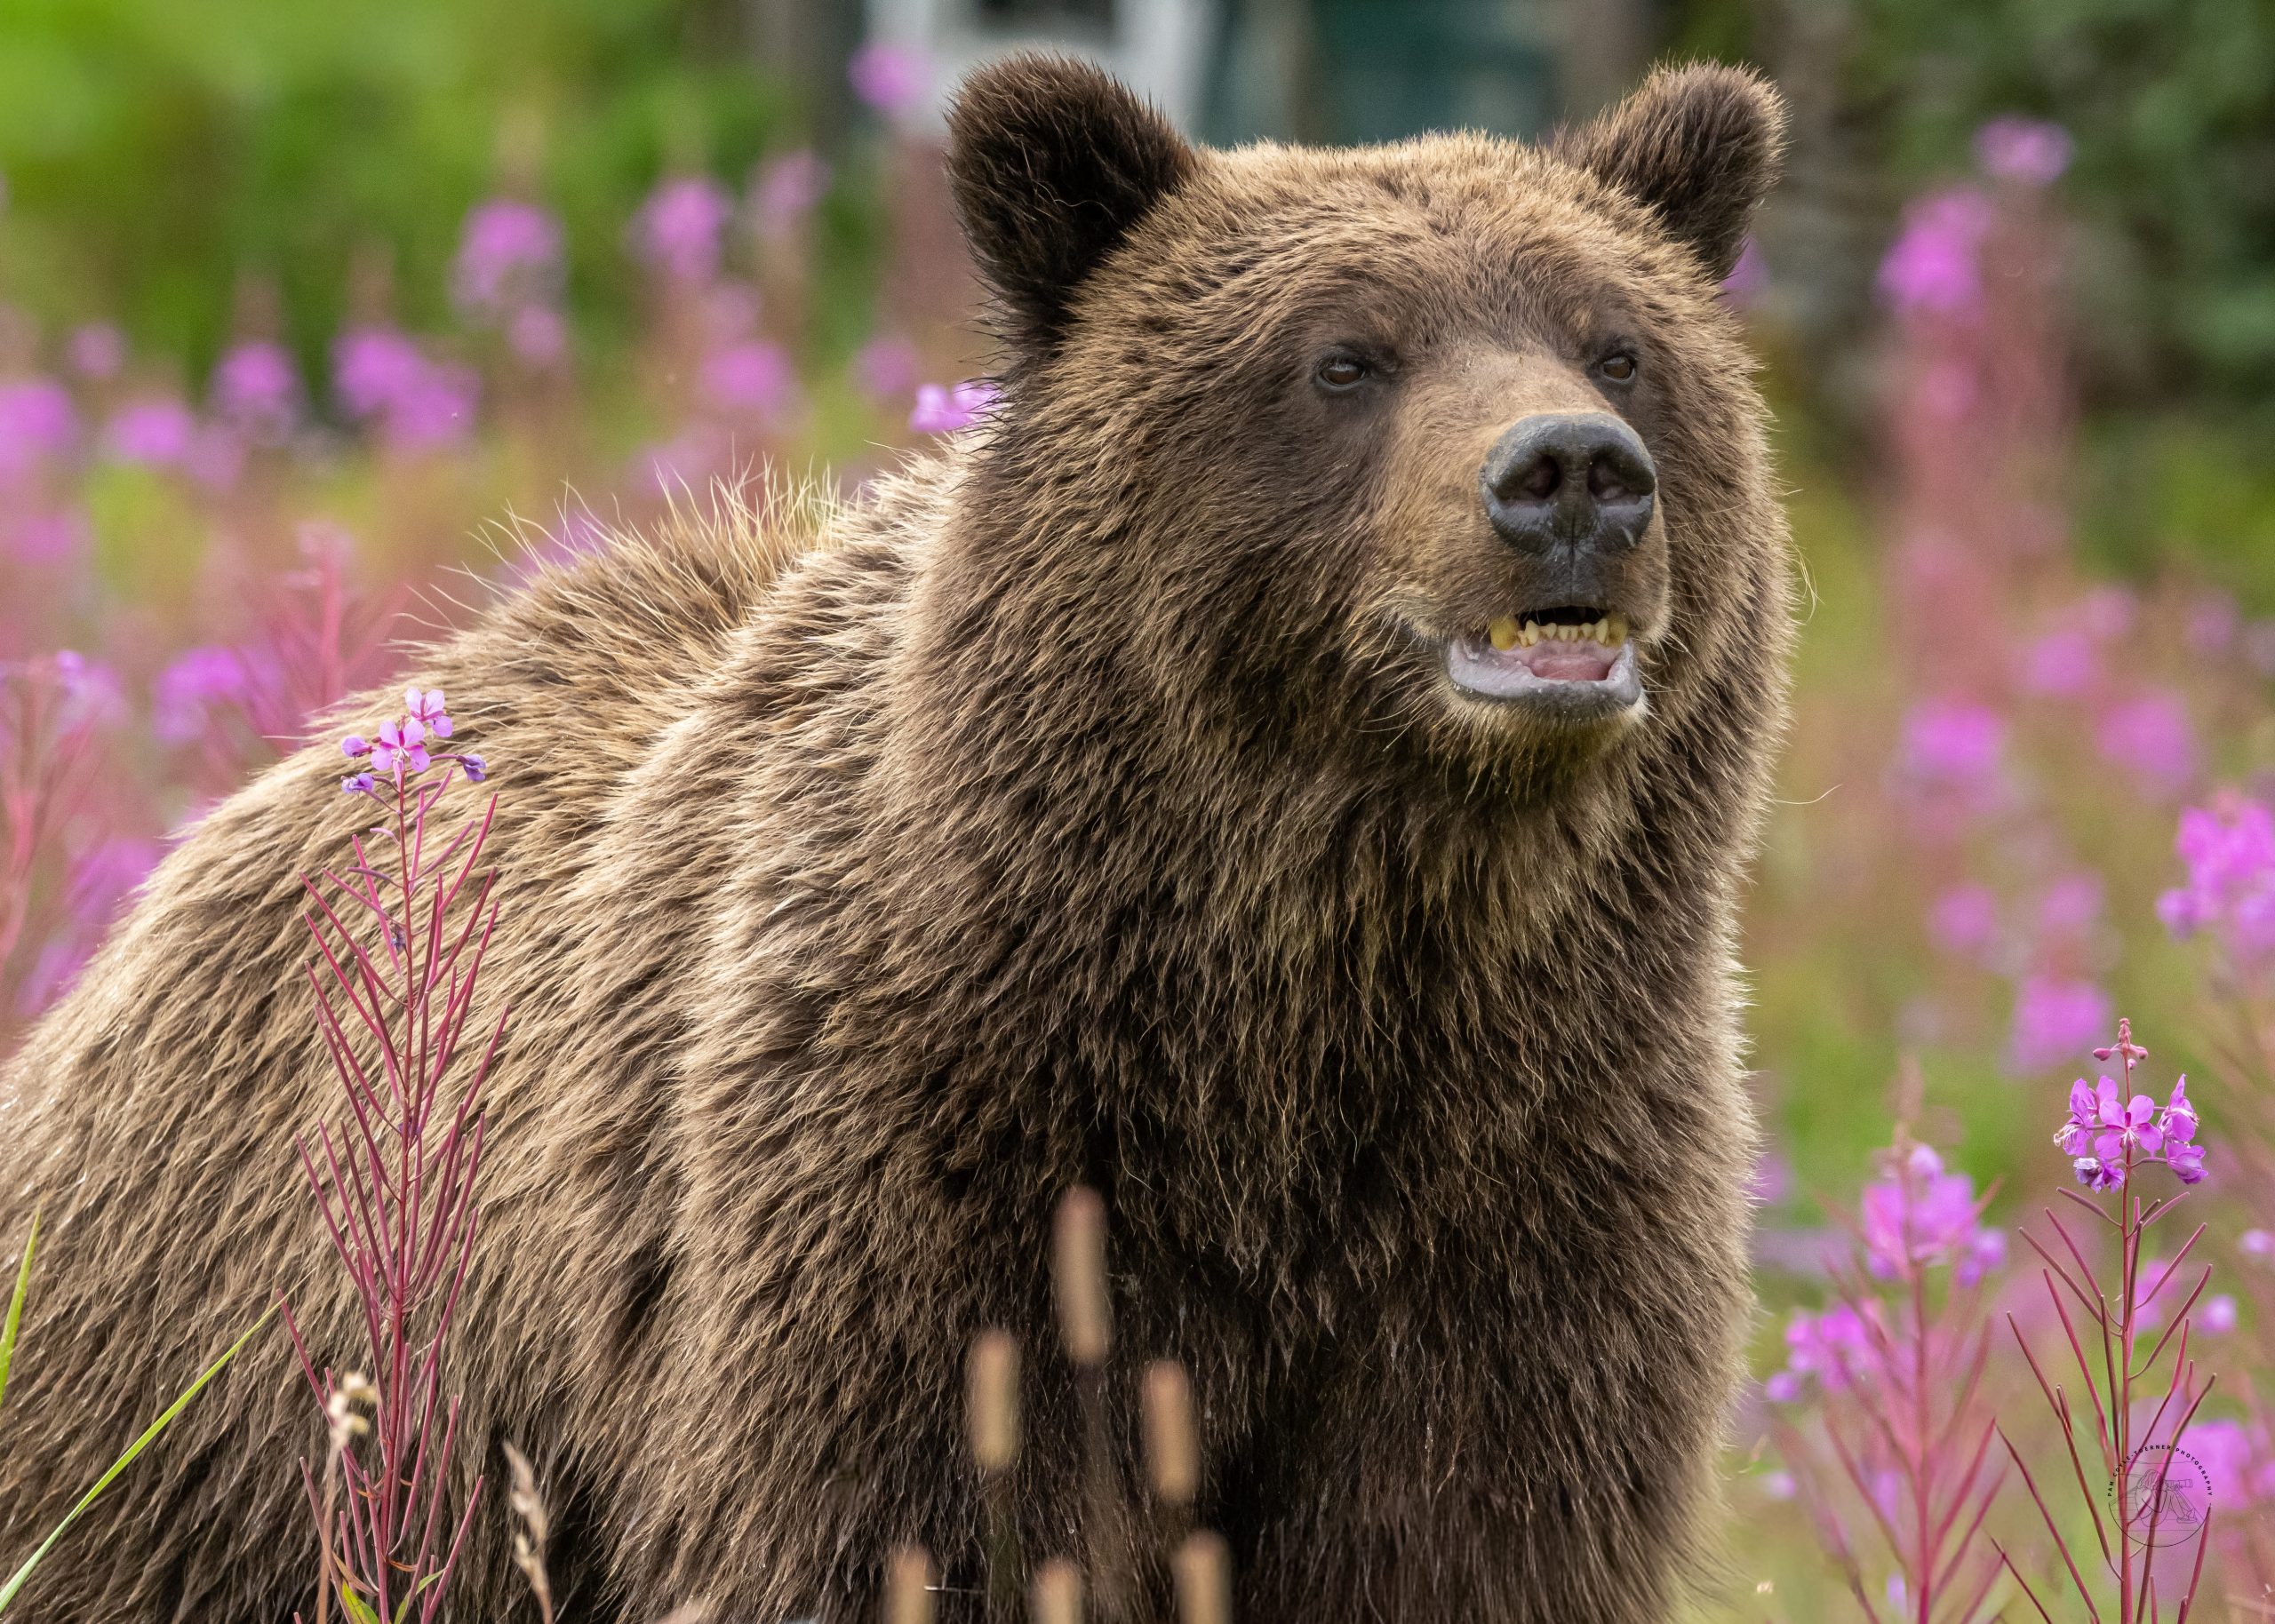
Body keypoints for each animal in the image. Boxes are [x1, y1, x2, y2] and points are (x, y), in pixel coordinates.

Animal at [0, 53, 1791, 1624]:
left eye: (1617, 343)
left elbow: (1463, 1534)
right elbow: (919, 1530)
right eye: (1346, 355)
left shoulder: (1527, 1194)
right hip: (245, 1393)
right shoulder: (921, 1191)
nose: (1570, 474)